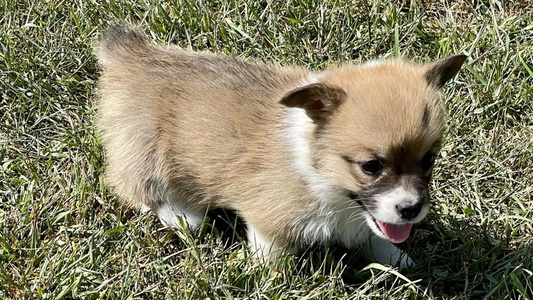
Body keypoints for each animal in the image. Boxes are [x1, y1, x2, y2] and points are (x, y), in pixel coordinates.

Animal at [95, 25, 466, 270]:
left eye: (429, 160)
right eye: (371, 166)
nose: (411, 209)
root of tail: (135, 56)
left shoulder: (365, 219)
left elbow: (376, 233)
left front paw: (398, 259)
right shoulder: (269, 221)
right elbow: (271, 255)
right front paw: (270, 277)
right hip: (143, 148)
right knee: (136, 188)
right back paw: (182, 215)